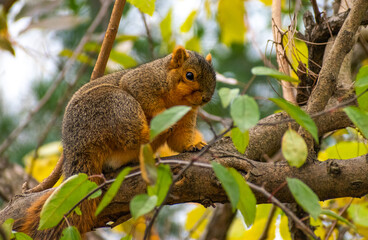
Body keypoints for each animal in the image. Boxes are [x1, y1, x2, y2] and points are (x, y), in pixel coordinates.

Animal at [18, 46, 216, 239]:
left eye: (214, 77)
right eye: (189, 75)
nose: (206, 98)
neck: (177, 100)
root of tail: (76, 148)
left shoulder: (186, 115)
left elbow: (179, 141)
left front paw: (193, 145)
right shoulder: (142, 82)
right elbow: (143, 95)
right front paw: (163, 117)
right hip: (116, 106)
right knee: (133, 136)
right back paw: (155, 132)